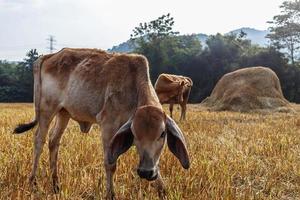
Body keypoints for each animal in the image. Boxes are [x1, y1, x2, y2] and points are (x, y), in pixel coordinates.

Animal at [13, 48, 190, 200]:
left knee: (53, 141)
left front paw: (163, 191)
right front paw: (110, 194)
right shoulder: (108, 126)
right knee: (39, 141)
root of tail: (49, 56)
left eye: (162, 134)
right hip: (46, 110)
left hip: (64, 113)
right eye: (135, 133)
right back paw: (33, 182)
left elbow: (156, 167)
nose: (146, 172)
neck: (133, 88)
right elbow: (110, 164)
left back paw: (56, 185)